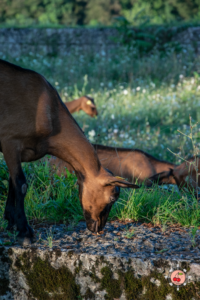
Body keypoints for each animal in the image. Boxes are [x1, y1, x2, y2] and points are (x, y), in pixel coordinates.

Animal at [0, 59, 138, 245]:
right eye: (112, 197)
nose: (99, 228)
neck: (49, 113)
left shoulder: (18, 152)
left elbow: (12, 183)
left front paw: (11, 222)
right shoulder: (10, 141)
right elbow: (21, 184)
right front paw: (24, 232)